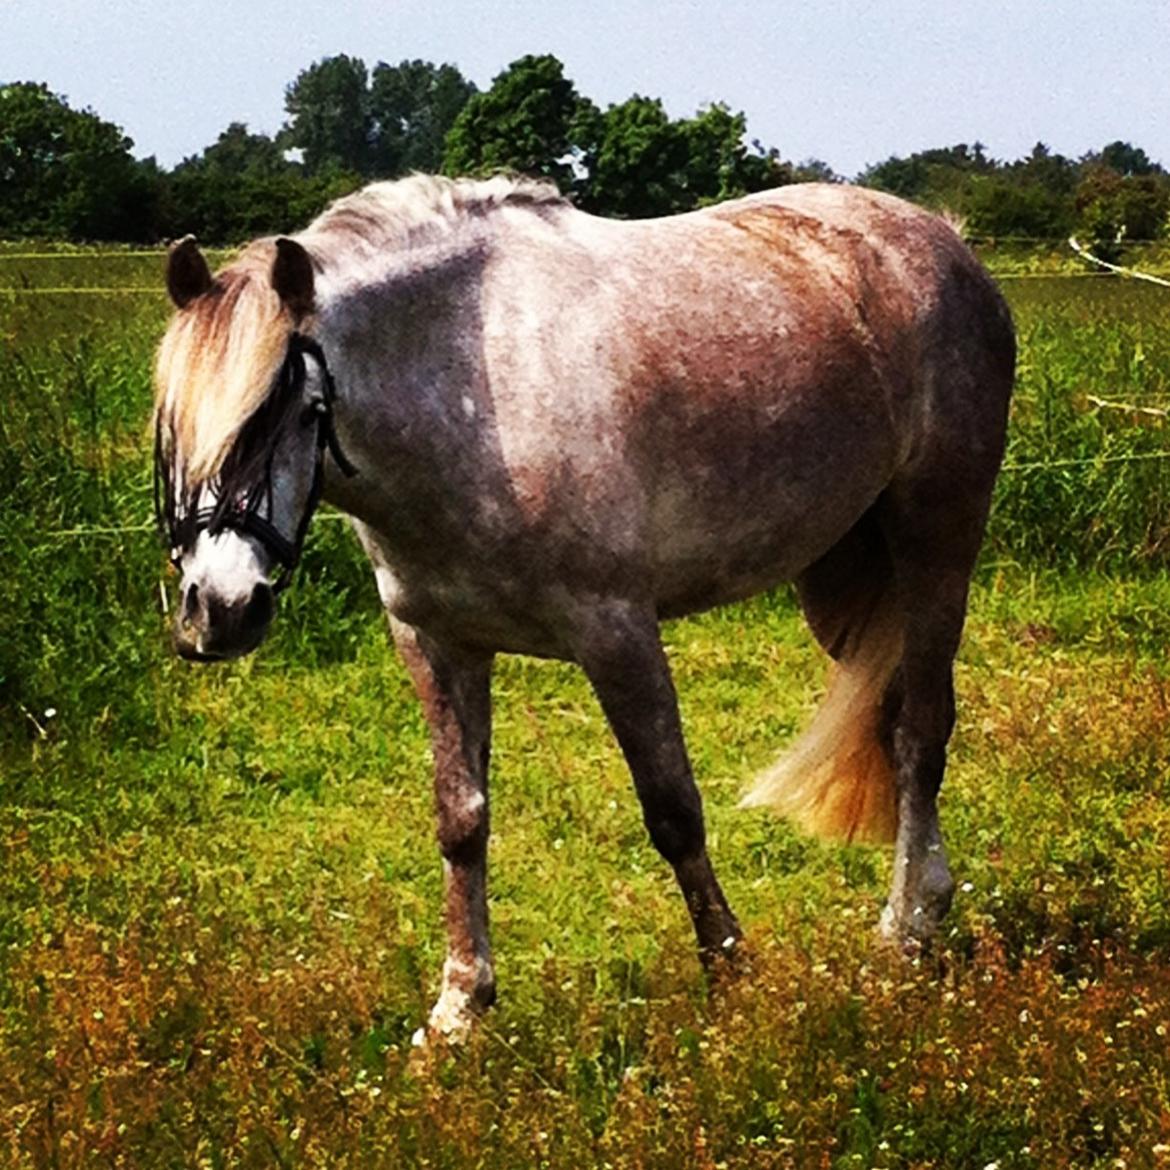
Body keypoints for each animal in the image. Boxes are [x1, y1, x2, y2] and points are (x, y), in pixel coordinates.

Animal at [153, 173, 1015, 1043]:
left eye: (289, 411)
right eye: (171, 425)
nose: (219, 611)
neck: (472, 391)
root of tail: (944, 238)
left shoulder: (617, 632)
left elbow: (673, 810)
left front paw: (731, 976)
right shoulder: (437, 643)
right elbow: (460, 820)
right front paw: (459, 1007)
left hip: (936, 543)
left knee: (921, 732)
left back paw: (906, 928)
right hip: (842, 576)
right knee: (894, 715)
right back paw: (924, 903)